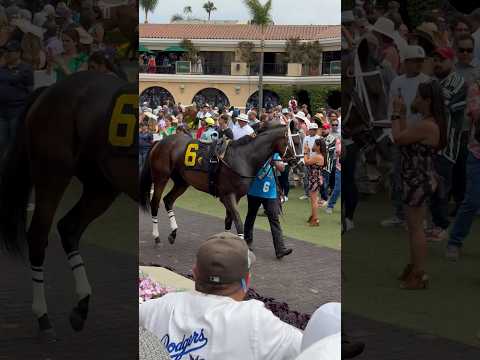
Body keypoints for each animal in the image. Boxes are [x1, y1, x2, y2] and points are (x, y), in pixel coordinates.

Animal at [0, 71, 139, 342]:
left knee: (69, 227)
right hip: (53, 174)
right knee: (39, 235)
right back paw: (44, 318)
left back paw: (81, 307)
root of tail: (48, 91)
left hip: (102, 185)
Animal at [139, 121, 302, 245]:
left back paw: (173, 233)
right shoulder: (228, 195)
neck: (243, 157)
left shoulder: (235, 197)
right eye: (295, 142)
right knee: (155, 202)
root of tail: (160, 141)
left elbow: (229, 220)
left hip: (182, 181)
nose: (300, 165)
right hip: (161, 178)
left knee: (168, 200)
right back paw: (156, 236)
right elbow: (238, 222)